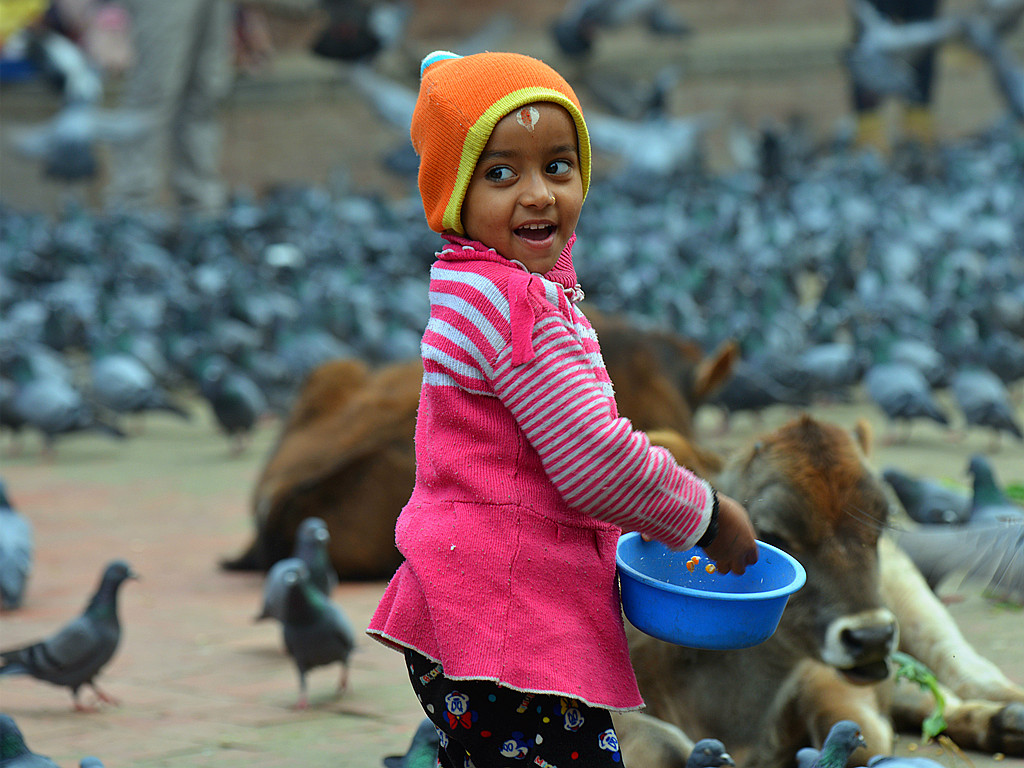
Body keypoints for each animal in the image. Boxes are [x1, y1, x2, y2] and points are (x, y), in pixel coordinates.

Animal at [614, 417, 1024, 765]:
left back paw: (1010, 713)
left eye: (881, 525)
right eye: (771, 534)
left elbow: (860, 737)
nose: (871, 637)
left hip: (918, 611)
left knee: (963, 675)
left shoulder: (827, 679)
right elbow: (663, 745)